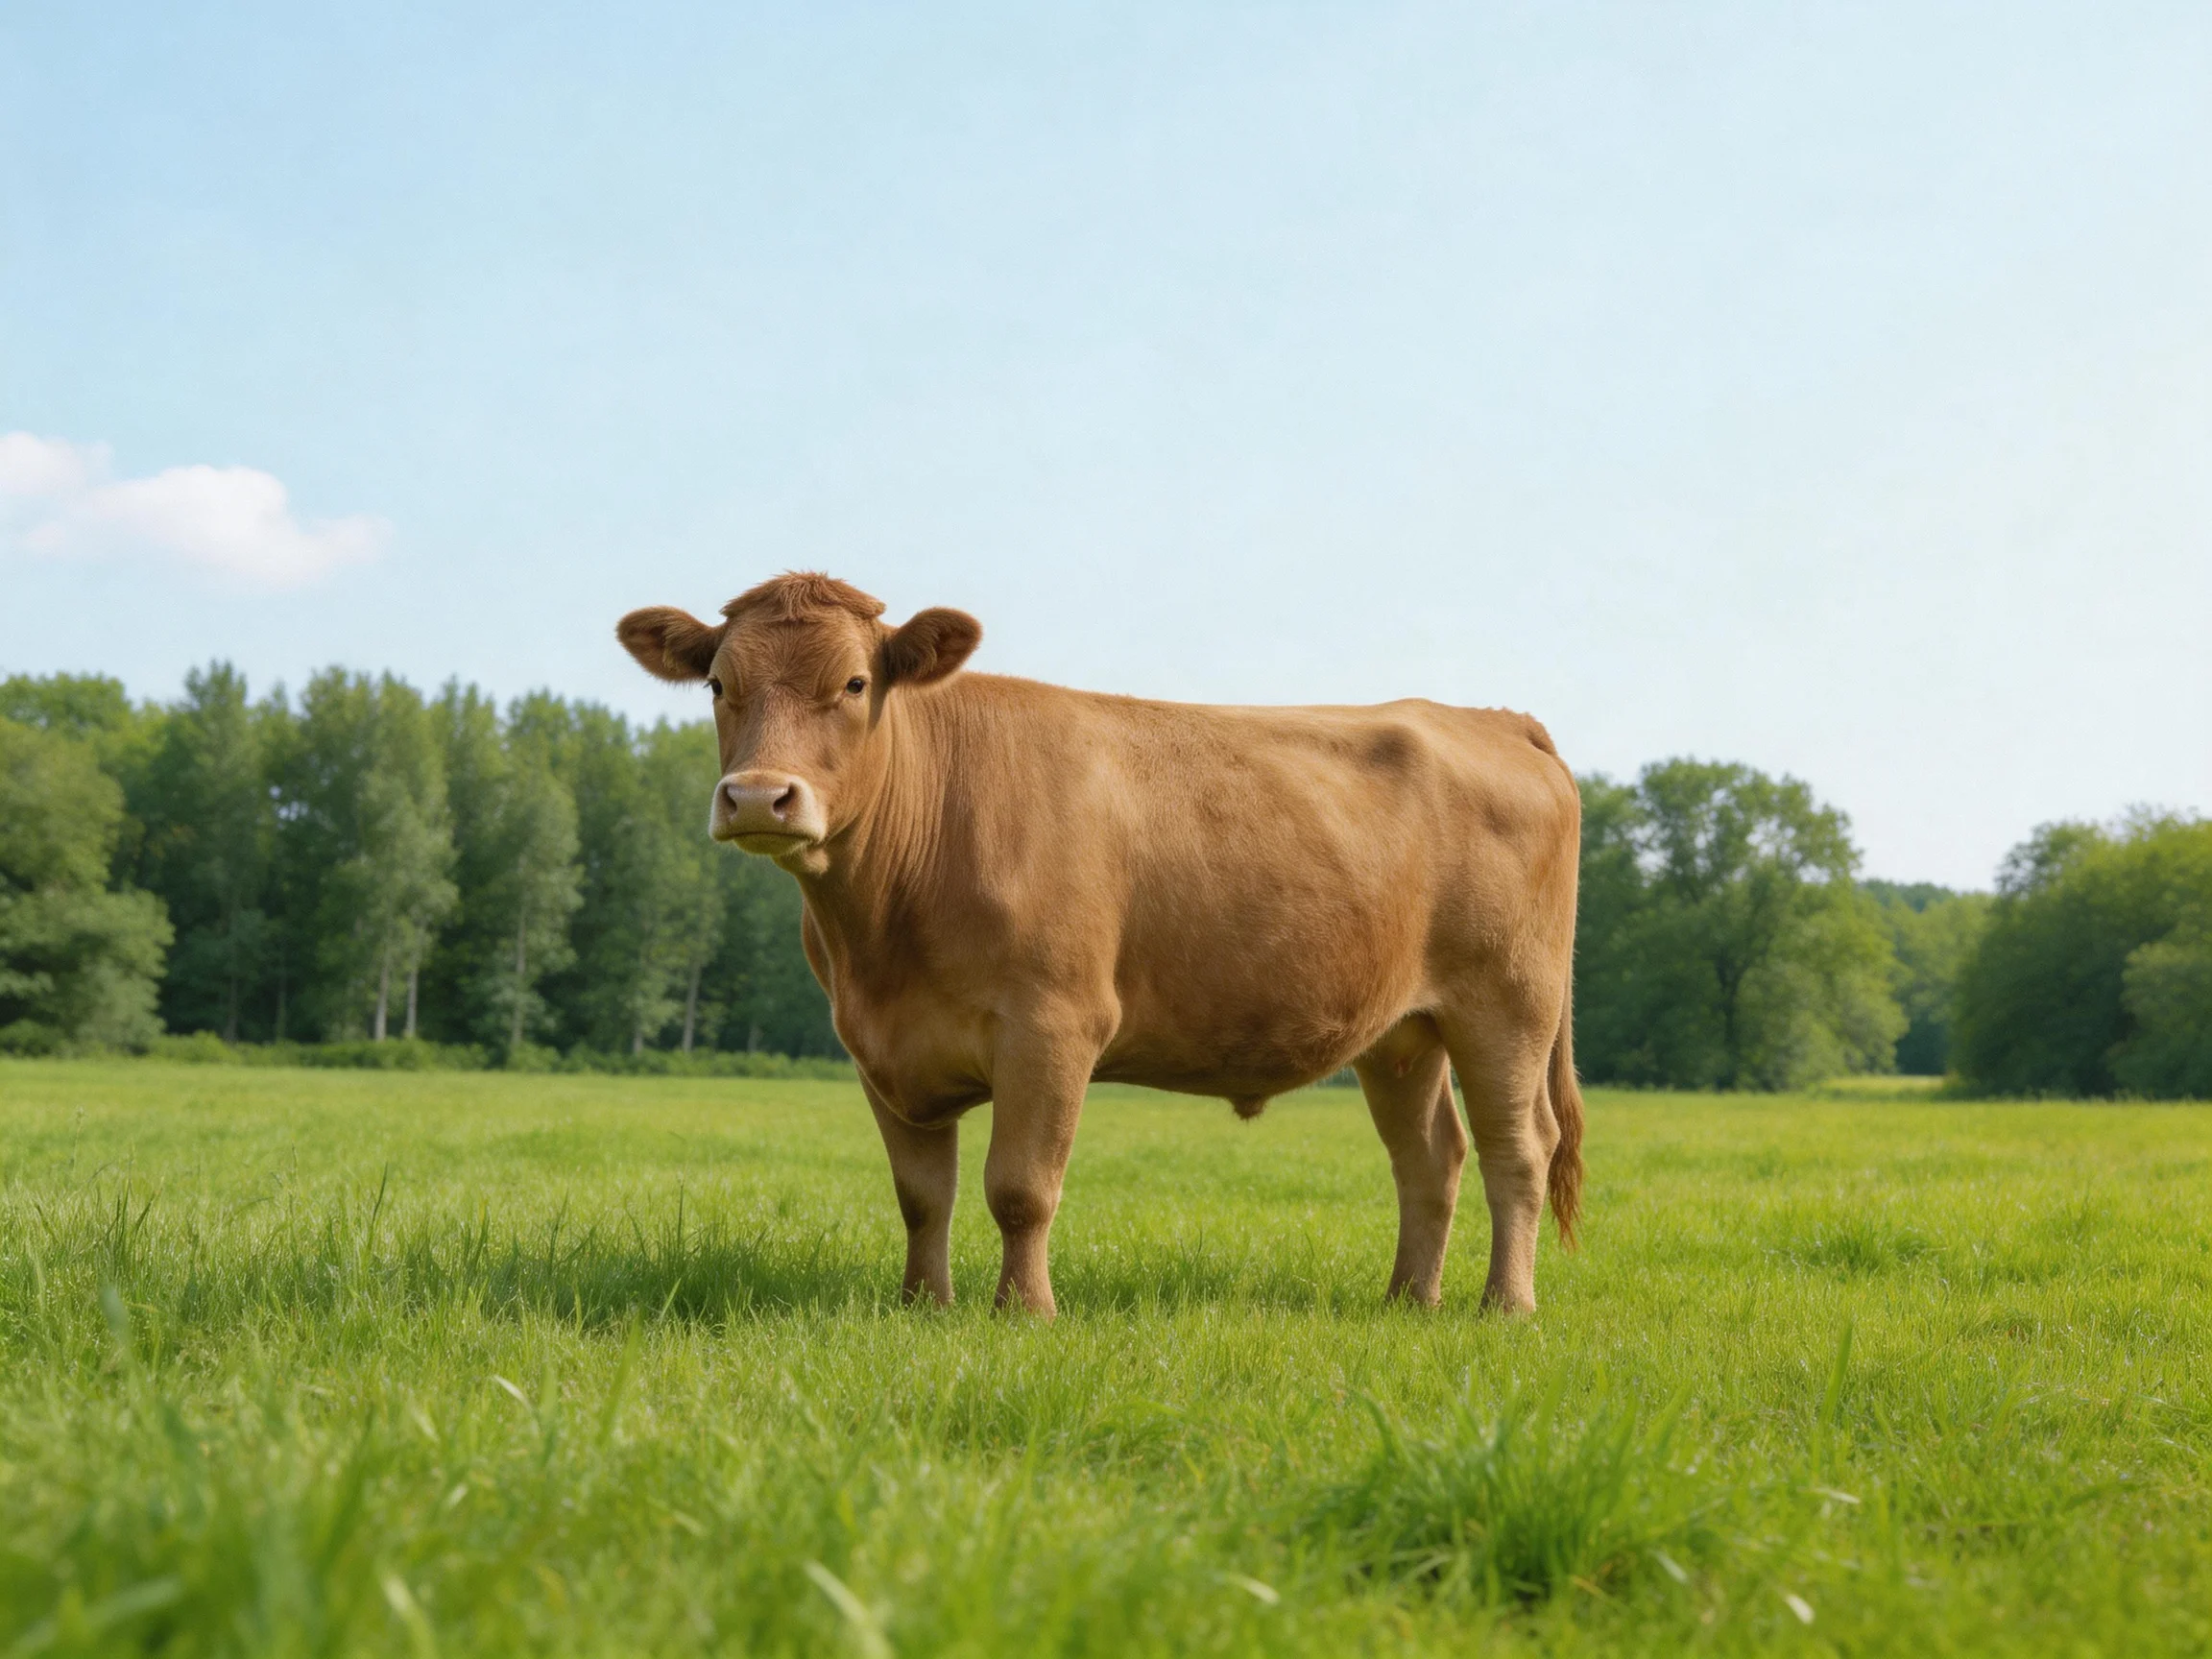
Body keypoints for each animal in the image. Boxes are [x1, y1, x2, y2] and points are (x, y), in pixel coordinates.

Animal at [618, 573, 1583, 1318]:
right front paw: (923, 1306)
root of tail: (1490, 718)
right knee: (1430, 1158)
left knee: (1518, 1150)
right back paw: (1408, 1301)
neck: (882, 936)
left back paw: (1506, 1306)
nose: (757, 796)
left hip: (1508, 1006)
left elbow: (1019, 1187)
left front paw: (1024, 1312)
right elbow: (922, 1196)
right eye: (717, 685)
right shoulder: (879, 1046)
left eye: (855, 684)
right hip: (1402, 1033)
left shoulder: (1053, 1025)